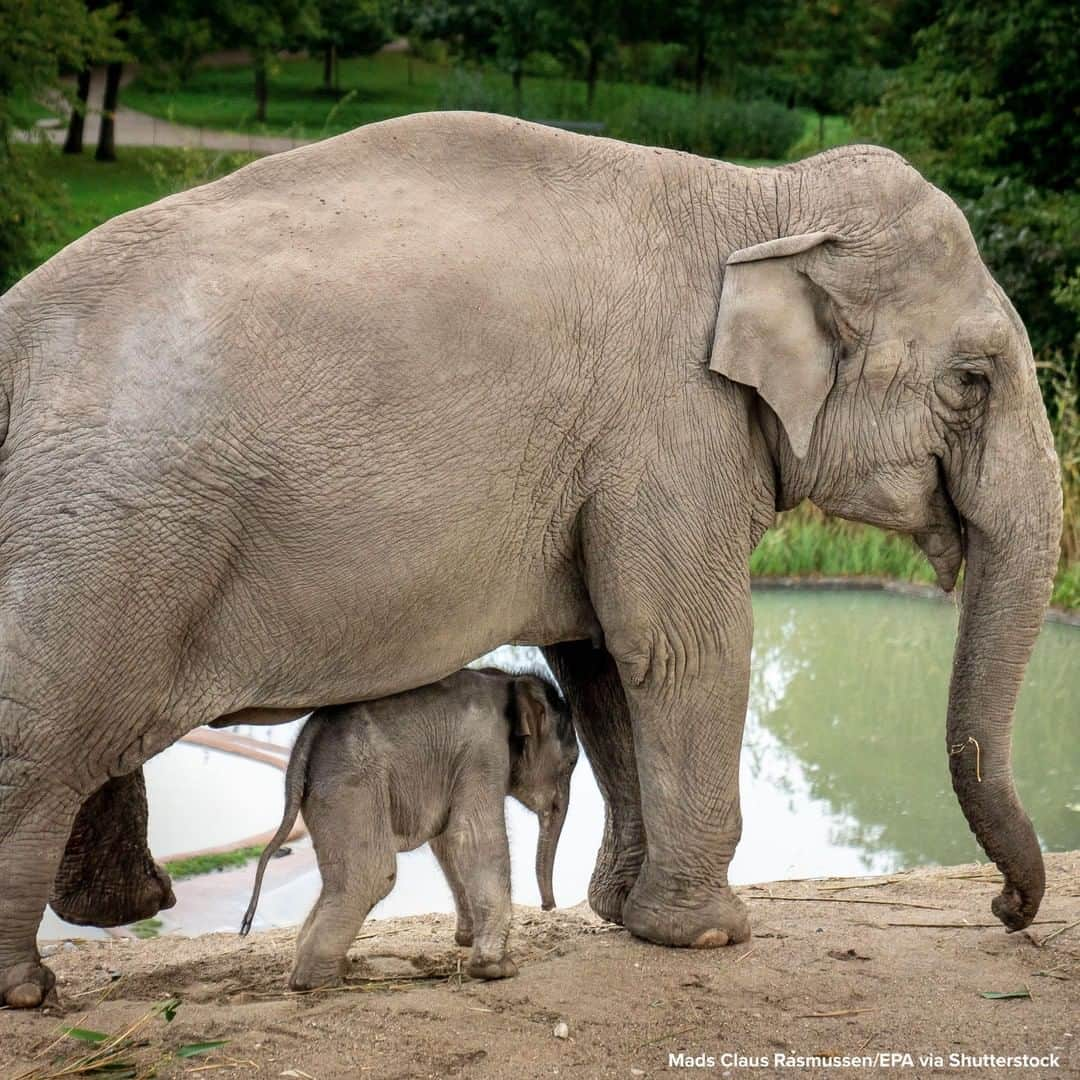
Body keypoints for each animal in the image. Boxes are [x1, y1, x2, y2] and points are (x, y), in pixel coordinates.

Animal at [240, 669, 578, 989]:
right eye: (572, 763)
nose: (549, 905)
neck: (508, 680)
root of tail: (303, 742)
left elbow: (446, 840)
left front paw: (467, 941)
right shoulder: (484, 753)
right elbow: (472, 836)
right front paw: (498, 970)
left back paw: (329, 970)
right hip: (351, 785)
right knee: (374, 874)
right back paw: (315, 982)